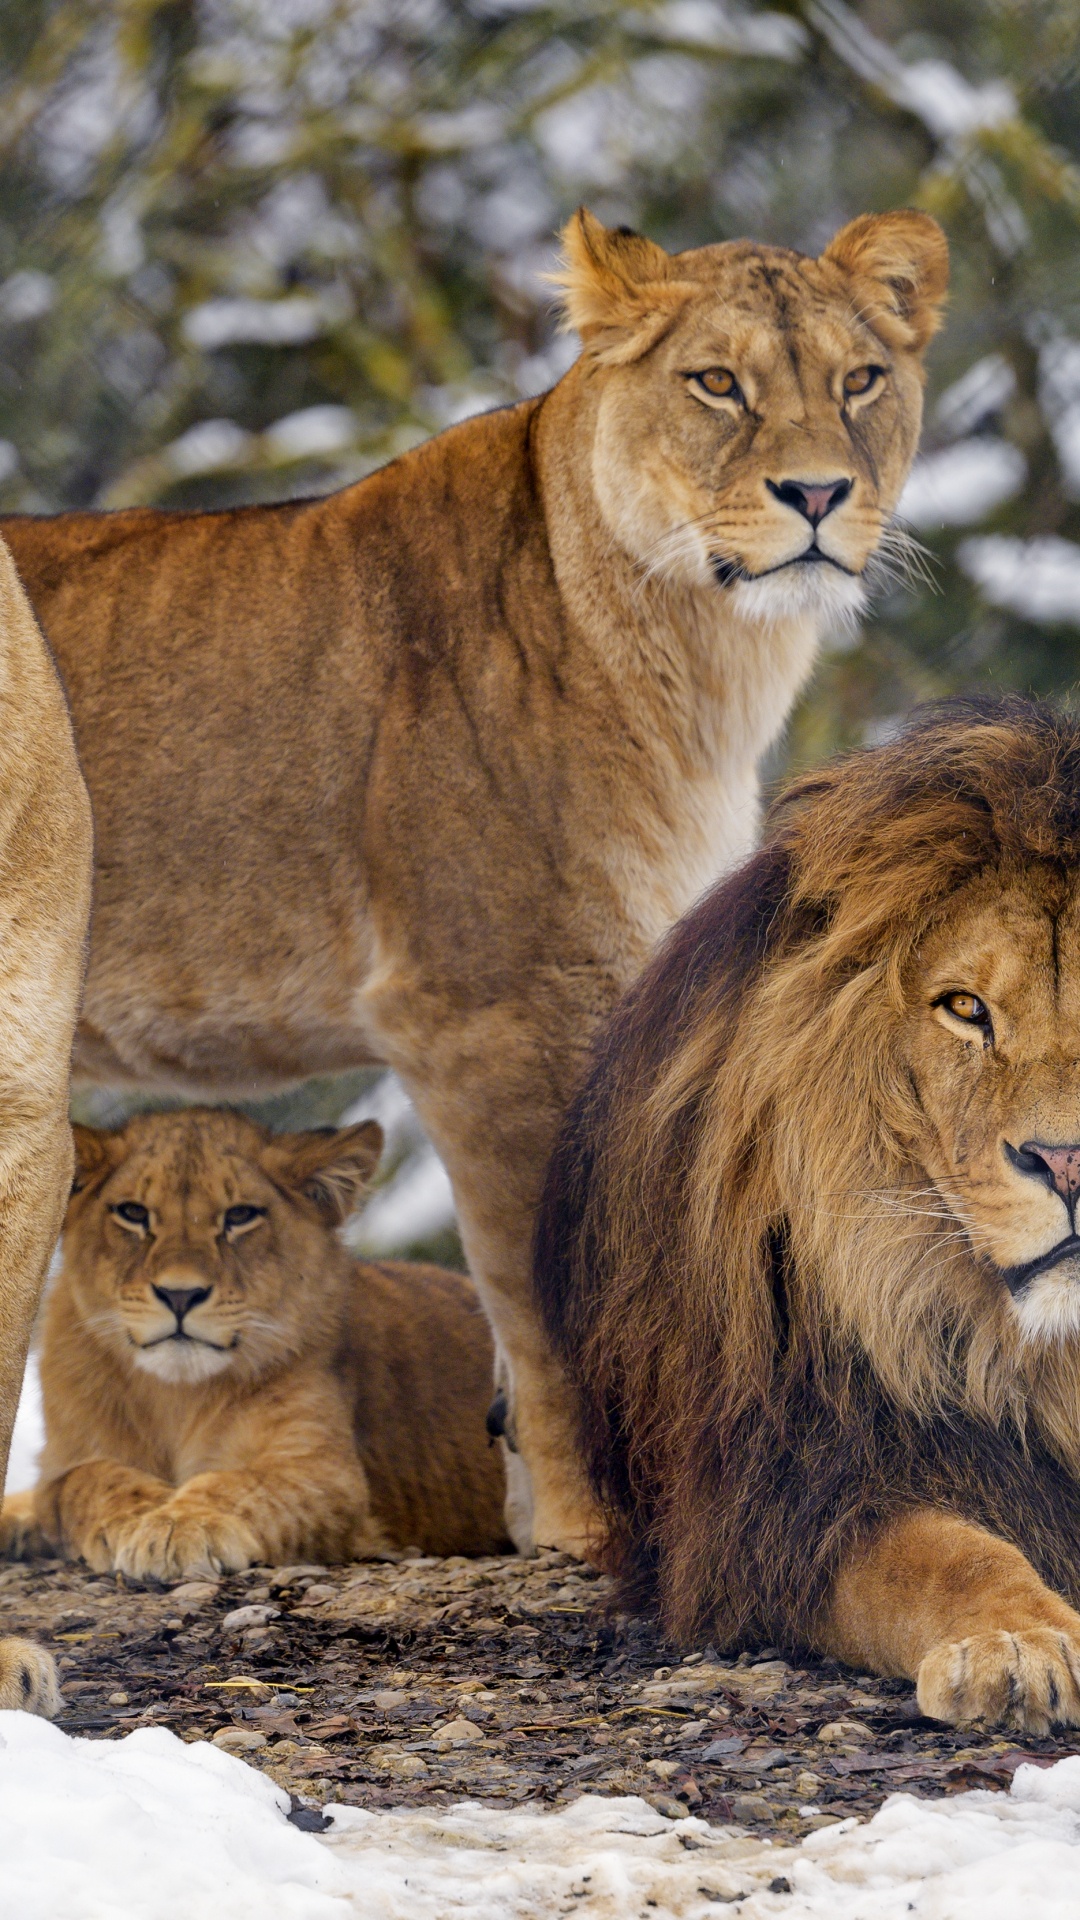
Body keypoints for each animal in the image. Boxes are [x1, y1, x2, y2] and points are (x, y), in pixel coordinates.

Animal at [1, 1107, 509, 1579]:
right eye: (133, 1213)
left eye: (240, 1216)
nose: (180, 1295)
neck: (175, 1398)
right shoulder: (65, 1460)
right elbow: (82, 1482)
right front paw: (139, 1515)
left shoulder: (326, 1473)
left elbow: (243, 1485)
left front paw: (180, 1525)